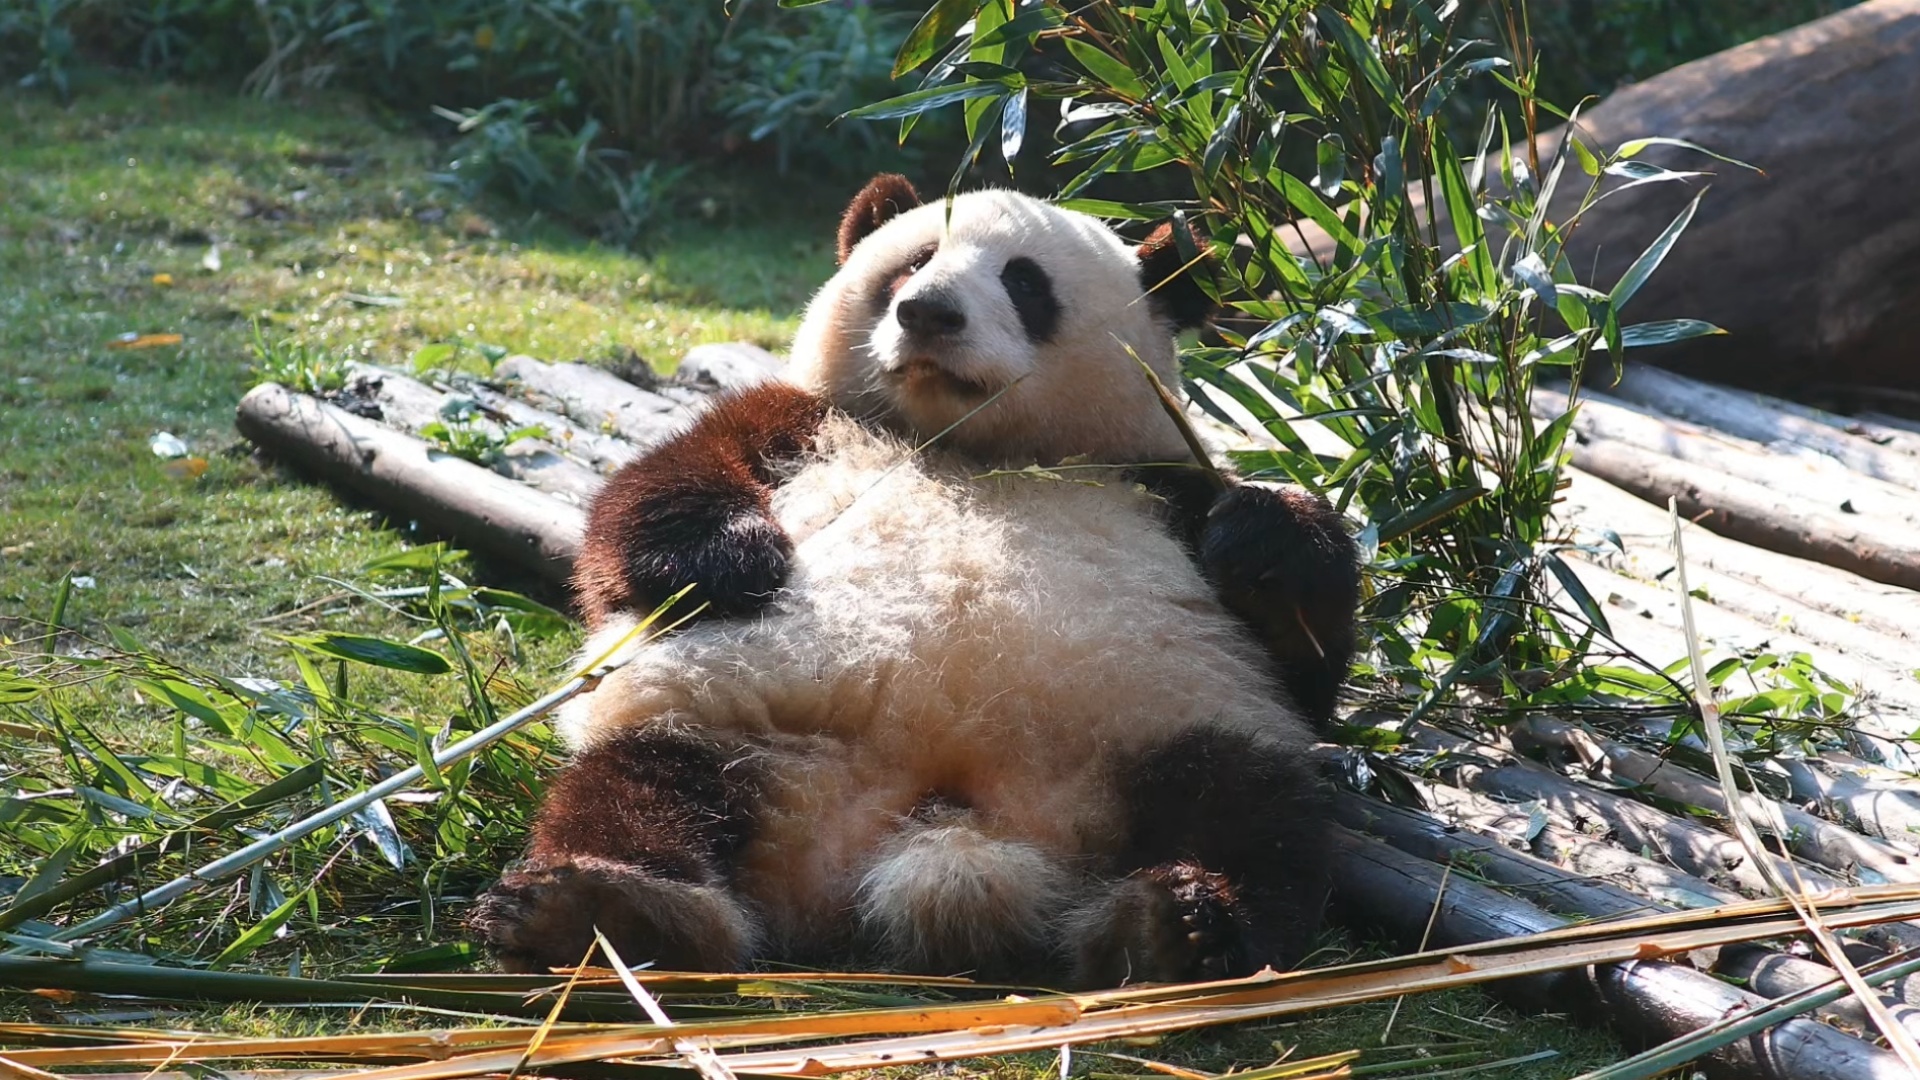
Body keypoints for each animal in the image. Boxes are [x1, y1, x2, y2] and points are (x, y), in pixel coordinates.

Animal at [469, 174, 1360, 988]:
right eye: (915, 261)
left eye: (1024, 281)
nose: (928, 312)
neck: (970, 447)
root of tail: (937, 836)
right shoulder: (801, 421)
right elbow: (642, 510)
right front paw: (738, 560)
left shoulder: (1158, 483)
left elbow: (1307, 660)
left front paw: (1262, 534)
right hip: (739, 725)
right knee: (638, 786)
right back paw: (602, 907)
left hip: (1156, 729)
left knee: (1252, 813)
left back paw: (1177, 924)